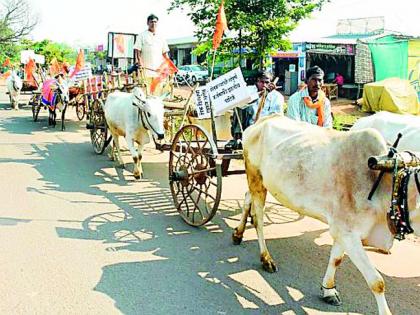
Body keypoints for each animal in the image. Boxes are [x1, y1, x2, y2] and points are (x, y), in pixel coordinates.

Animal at [233, 116, 420, 315]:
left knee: (247, 198)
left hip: (258, 182)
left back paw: (238, 234)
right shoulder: (347, 233)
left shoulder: (343, 230)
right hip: (255, 177)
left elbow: (336, 259)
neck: (387, 183)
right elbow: (377, 282)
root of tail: (263, 120)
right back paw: (266, 259)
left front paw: (329, 290)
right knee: (258, 219)